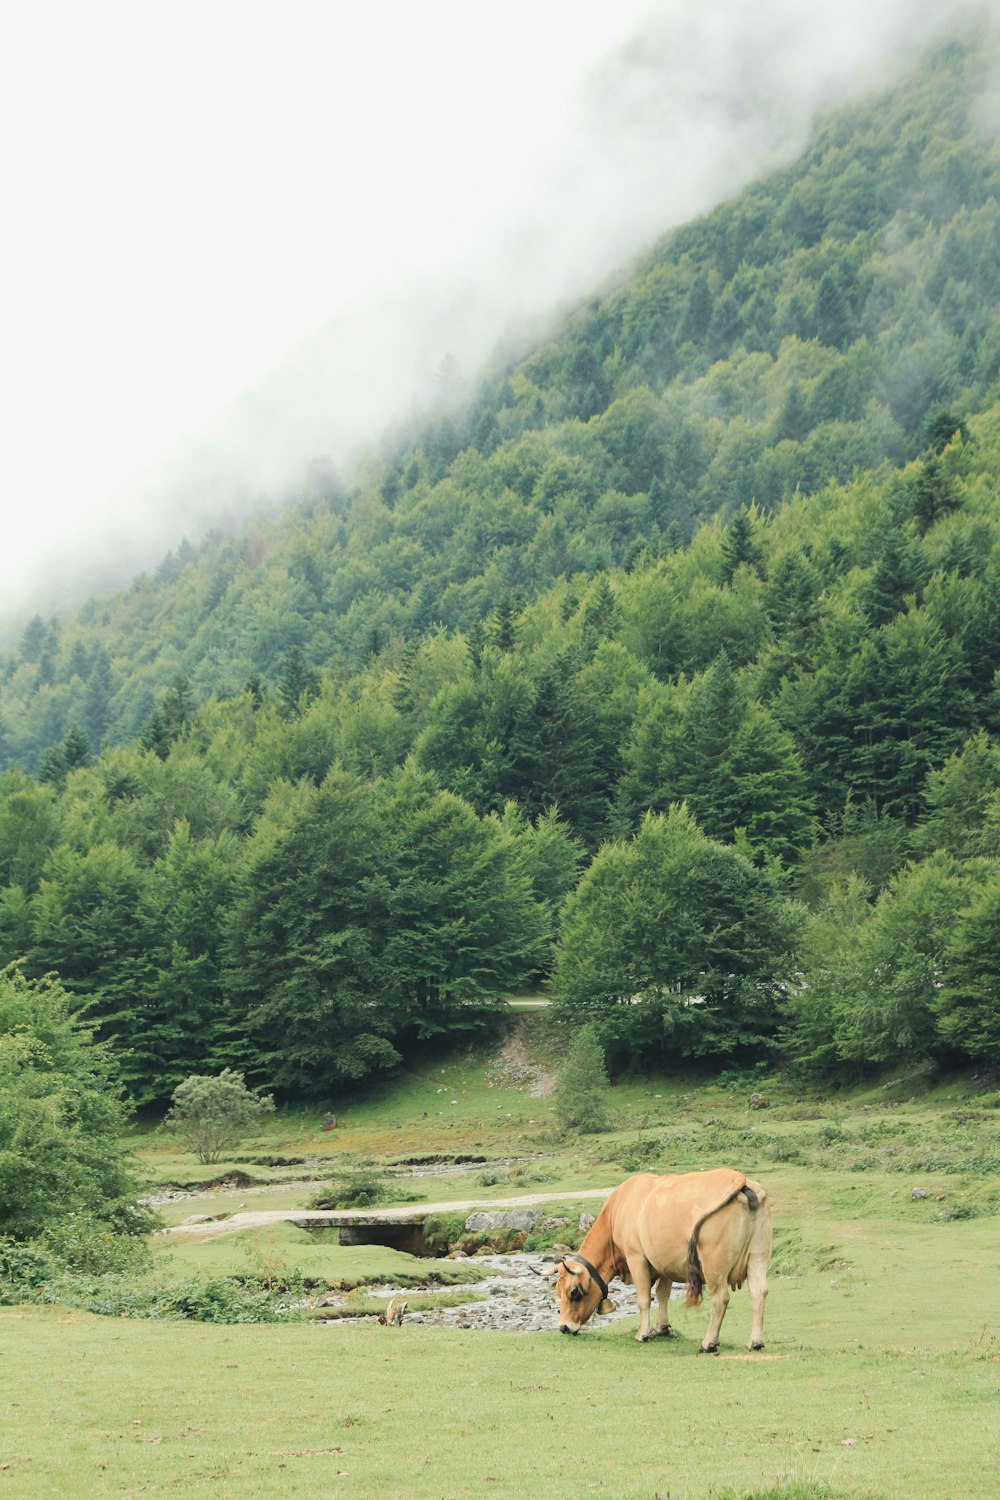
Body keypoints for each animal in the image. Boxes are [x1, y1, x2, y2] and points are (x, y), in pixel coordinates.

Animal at [551, 1164, 773, 1356]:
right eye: (558, 1292)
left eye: (574, 1292)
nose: (564, 1327)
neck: (618, 1211)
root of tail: (739, 1178)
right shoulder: (664, 1262)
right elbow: (662, 1294)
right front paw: (662, 1328)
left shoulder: (636, 1257)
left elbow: (643, 1299)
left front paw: (643, 1334)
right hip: (758, 1255)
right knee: (758, 1292)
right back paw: (755, 1342)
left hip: (714, 1265)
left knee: (720, 1298)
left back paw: (708, 1343)